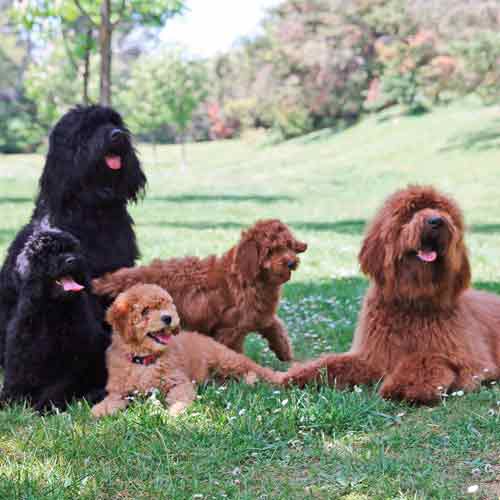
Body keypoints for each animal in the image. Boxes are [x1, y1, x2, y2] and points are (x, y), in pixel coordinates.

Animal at [0, 229, 108, 412]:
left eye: (73, 249)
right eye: (50, 253)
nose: (72, 260)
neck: (51, 311)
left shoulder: (71, 362)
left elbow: (57, 388)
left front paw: (42, 407)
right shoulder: (22, 355)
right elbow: (14, 383)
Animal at [91, 286, 284, 418]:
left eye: (168, 306)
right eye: (145, 311)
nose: (168, 318)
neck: (145, 360)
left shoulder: (179, 382)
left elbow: (180, 397)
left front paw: (174, 412)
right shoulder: (120, 390)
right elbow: (112, 400)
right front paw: (99, 410)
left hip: (227, 360)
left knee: (257, 369)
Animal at [92, 219, 306, 360]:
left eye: (288, 245)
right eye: (270, 251)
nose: (291, 262)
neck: (247, 276)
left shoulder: (260, 316)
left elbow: (276, 327)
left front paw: (286, 353)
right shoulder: (230, 329)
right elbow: (232, 349)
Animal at [282, 186, 500, 404]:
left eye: (444, 212)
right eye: (412, 210)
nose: (437, 220)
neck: (412, 301)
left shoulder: (469, 360)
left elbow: (425, 358)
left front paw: (405, 386)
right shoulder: (372, 357)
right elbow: (332, 363)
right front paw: (294, 376)